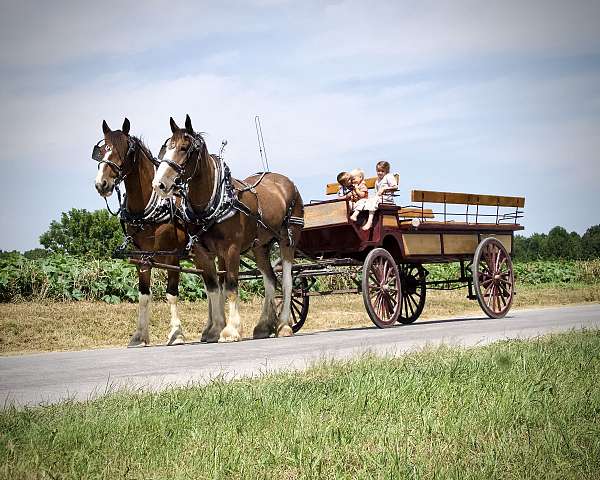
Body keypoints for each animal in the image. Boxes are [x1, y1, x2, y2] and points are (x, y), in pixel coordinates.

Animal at [93, 118, 188, 346]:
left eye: (124, 150)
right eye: (101, 150)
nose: (102, 184)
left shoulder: (172, 256)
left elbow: (171, 294)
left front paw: (176, 334)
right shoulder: (141, 256)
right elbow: (144, 295)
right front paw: (139, 335)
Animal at [154, 115, 304, 344]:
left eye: (184, 148)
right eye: (165, 148)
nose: (159, 184)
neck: (214, 201)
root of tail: (286, 182)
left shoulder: (231, 249)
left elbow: (231, 287)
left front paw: (231, 330)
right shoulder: (203, 252)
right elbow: (215, 288)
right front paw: (214, 329)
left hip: (289, 238)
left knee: (286, 282)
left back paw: (284, 325)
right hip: (260, 246)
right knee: (270, 280)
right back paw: (263, 326)